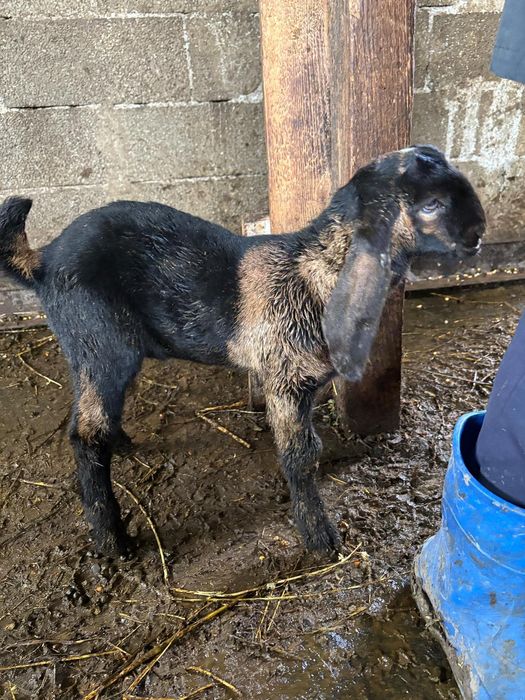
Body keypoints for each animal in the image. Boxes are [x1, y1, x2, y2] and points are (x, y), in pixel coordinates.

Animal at [0, 145, 486, 557]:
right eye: (431, 205)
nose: (479, 234)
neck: (314, 274)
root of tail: (44, 261)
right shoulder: (284, 379)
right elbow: (298, 454)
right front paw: (319, 537)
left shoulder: (305, 382)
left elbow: (309, 445)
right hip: (98, 341)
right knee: (86, 433)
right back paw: (112, 540)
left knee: (97, 416)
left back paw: (121, 446)